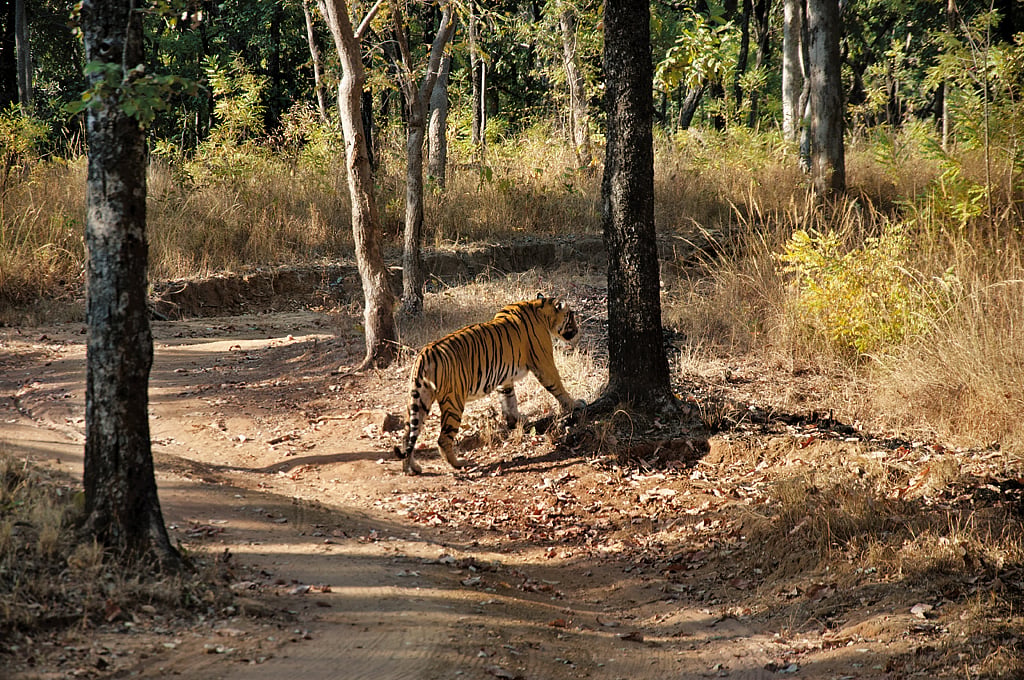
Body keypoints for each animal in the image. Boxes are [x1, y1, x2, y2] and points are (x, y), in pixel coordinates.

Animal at [396, 294, 586, 475]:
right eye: (571, 316)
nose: (577, 330)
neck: (540, 308)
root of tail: (425, 354)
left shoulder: (505, 378)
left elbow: (509, 399)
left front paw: (515, 419)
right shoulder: (544, 363)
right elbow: (558, 386)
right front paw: (575, 404)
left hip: (419, 400)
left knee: (407, 437)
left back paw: (411, 469)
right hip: (453, 402)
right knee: (442, 439)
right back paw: (458, 463)